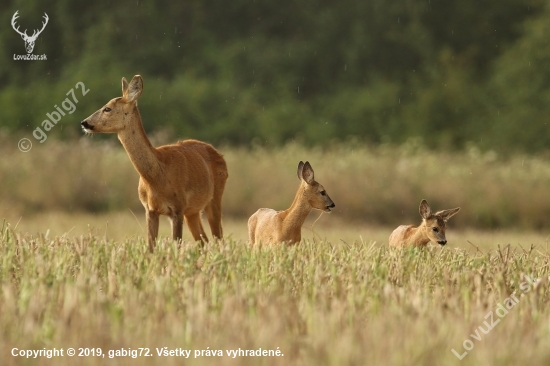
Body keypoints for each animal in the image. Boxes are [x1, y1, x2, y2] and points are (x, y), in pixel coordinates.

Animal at [81, 74, 230, 252]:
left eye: (107, 108)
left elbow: (176, 246)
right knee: (204, 242)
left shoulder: (177, 208)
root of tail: (219, 154)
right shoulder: (150, 209)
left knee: (218, 239)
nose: (84, 123)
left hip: (215, 198)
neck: (157, 176)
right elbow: (150, 247)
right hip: (192, 212)